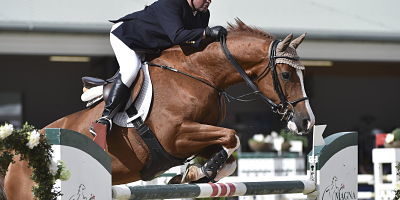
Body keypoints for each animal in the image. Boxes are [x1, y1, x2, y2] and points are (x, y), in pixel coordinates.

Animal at [1, 20, 314, 200]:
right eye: (286, 75)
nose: (305, 123)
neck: (199, 75)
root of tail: (21, 154)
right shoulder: (174, 136)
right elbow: (232, 136)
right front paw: (200, 171)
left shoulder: (197, 138)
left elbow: (229, 154)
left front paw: (194, 174)